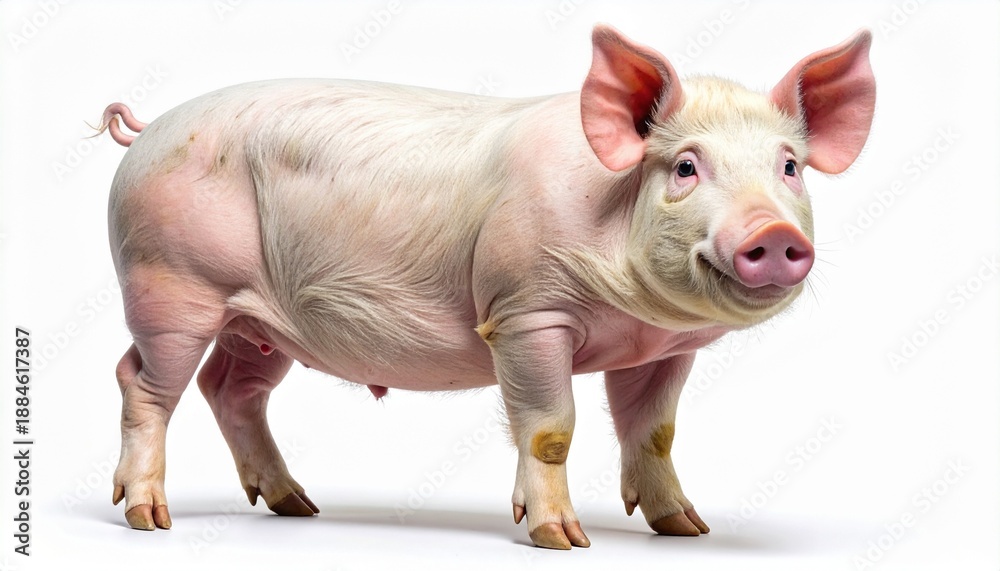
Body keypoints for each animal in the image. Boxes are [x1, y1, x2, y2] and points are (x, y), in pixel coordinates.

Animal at [97, 24, 874, 549]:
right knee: (142, 381)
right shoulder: (525, 312)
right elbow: (551, 428)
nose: (772, 234)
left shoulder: (663, 347)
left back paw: (297, 506)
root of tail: (148, 130)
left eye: (789, 166)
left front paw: (688, 528)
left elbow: (655, 432)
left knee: (231, 388)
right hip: (170, 282)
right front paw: (562, 538)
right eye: (686, 166)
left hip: (258, 321)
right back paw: (149, 518)